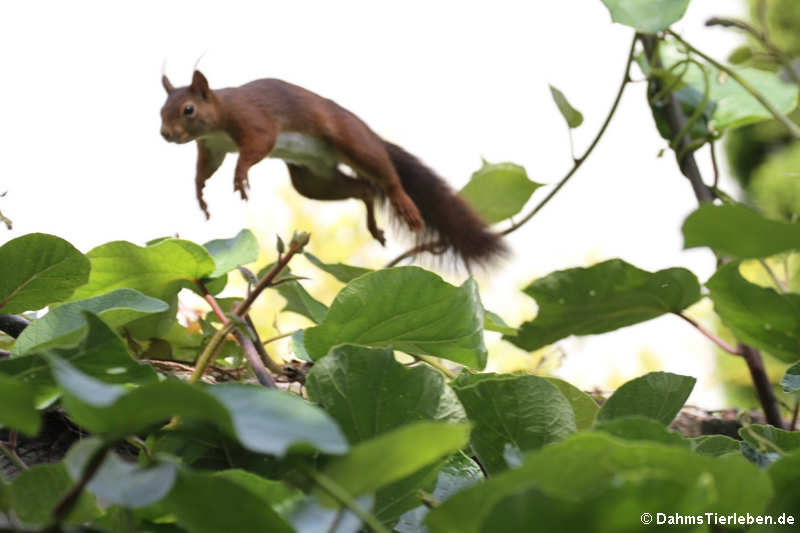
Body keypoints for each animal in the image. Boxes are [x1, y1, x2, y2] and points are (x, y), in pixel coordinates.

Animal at [160, 70, 506, 266]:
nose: (165, 134)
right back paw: (373, 224)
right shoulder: (212, 147)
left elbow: (258, 145)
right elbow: (205, 170)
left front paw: (241, 174)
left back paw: (404, 204)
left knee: (386, 177)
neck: (219, 117)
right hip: (314, 180)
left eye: (188, 110)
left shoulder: (253, 122)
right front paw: (200, 194)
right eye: (161, 110)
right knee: (364, 190)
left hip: (354, 143)